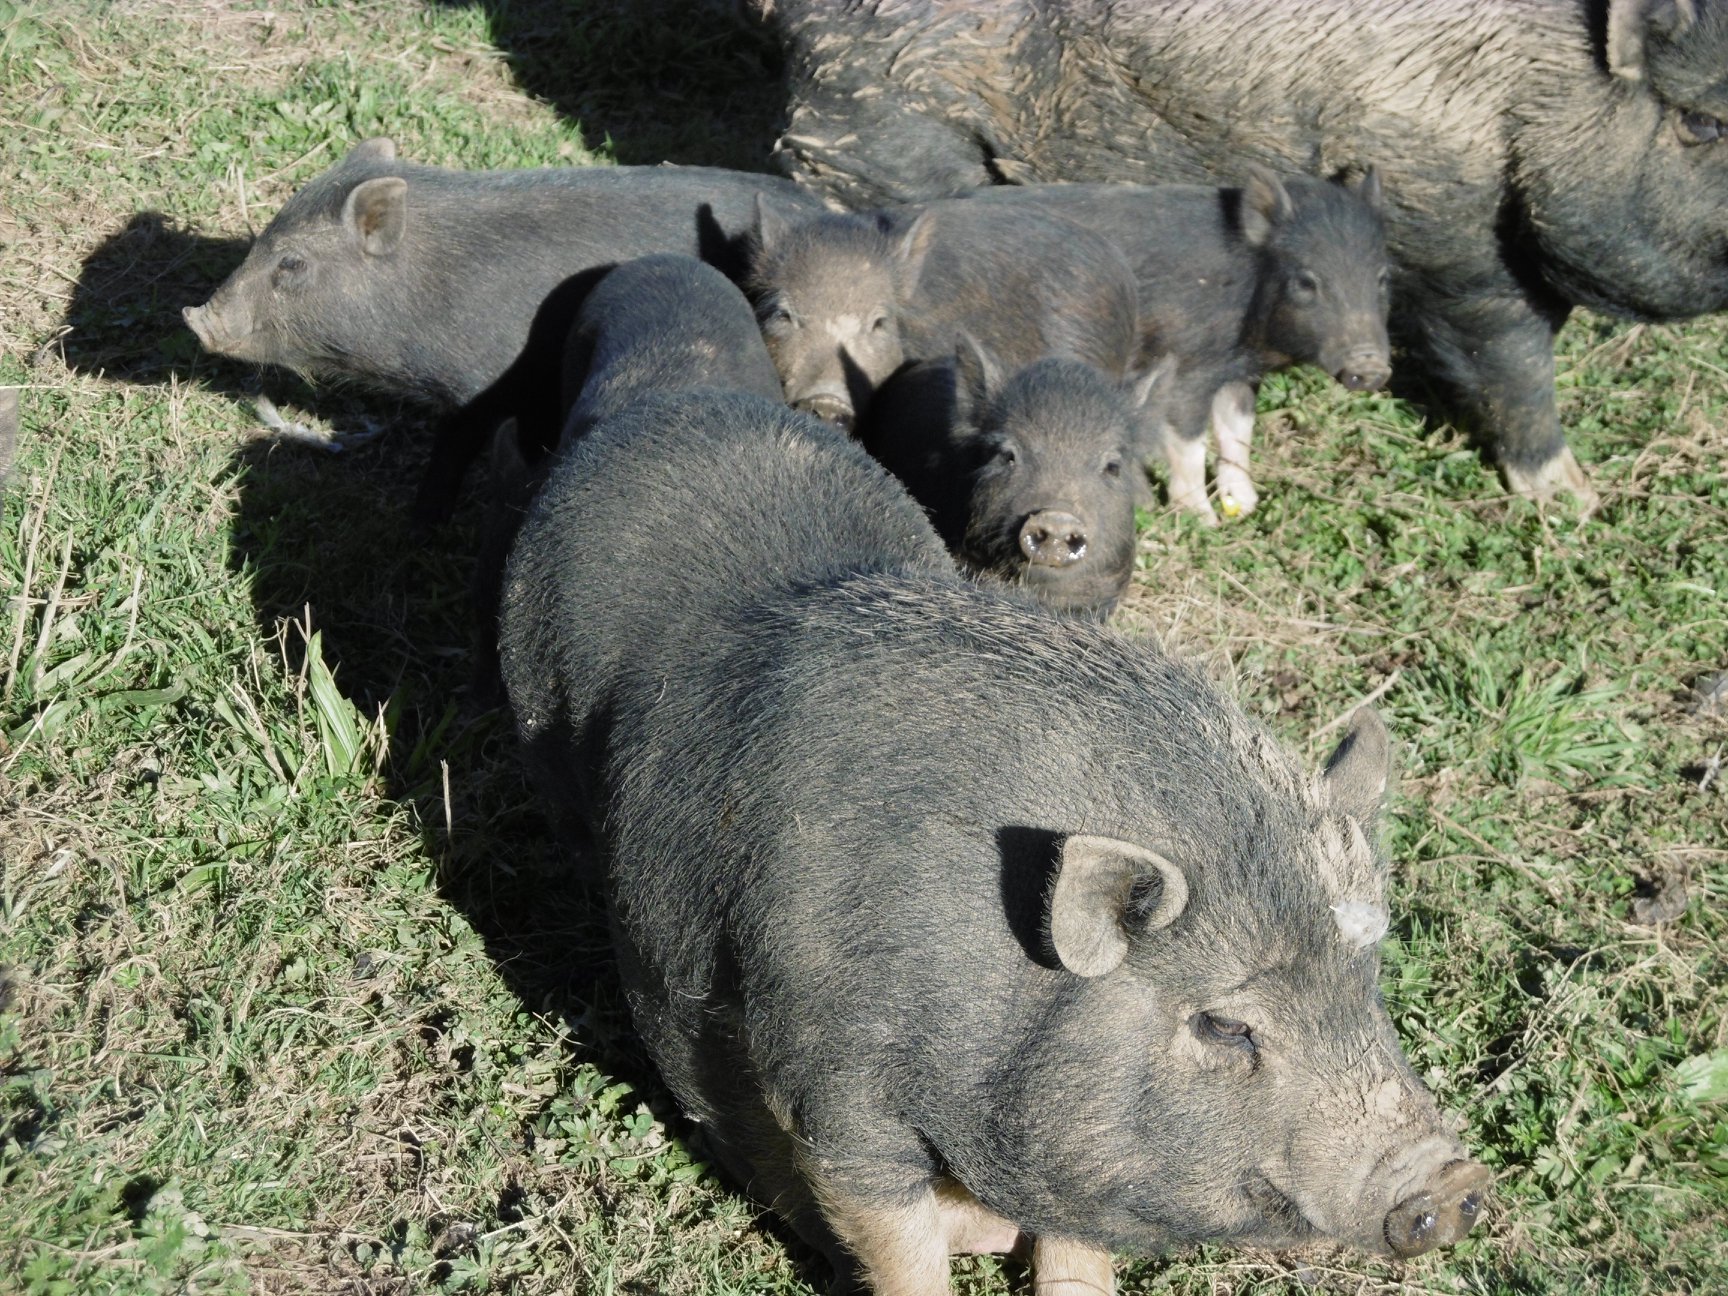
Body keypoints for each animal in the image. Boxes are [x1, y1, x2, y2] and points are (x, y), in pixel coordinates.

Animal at [178, 136, 823, 522]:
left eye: (291, 264)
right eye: (263, 238)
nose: (198, 319)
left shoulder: (488, 388)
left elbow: (458, 446)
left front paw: (421, 522)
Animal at [498, 383, 1492, 1293]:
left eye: (1366, 981)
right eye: (1225, 1025)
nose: (1455, 1185)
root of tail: (667, 405)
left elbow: (1077, 1259)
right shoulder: (834, 1092)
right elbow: (897, 1246)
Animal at [966, 168, 1391, 523]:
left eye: (1383, 278)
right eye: (1306, 281)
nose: (1371, 366)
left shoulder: (1239, 371)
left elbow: (1238, 431)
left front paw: (1246, 507)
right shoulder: (1187, 366)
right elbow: (1190, 443)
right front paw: (1204, 521)